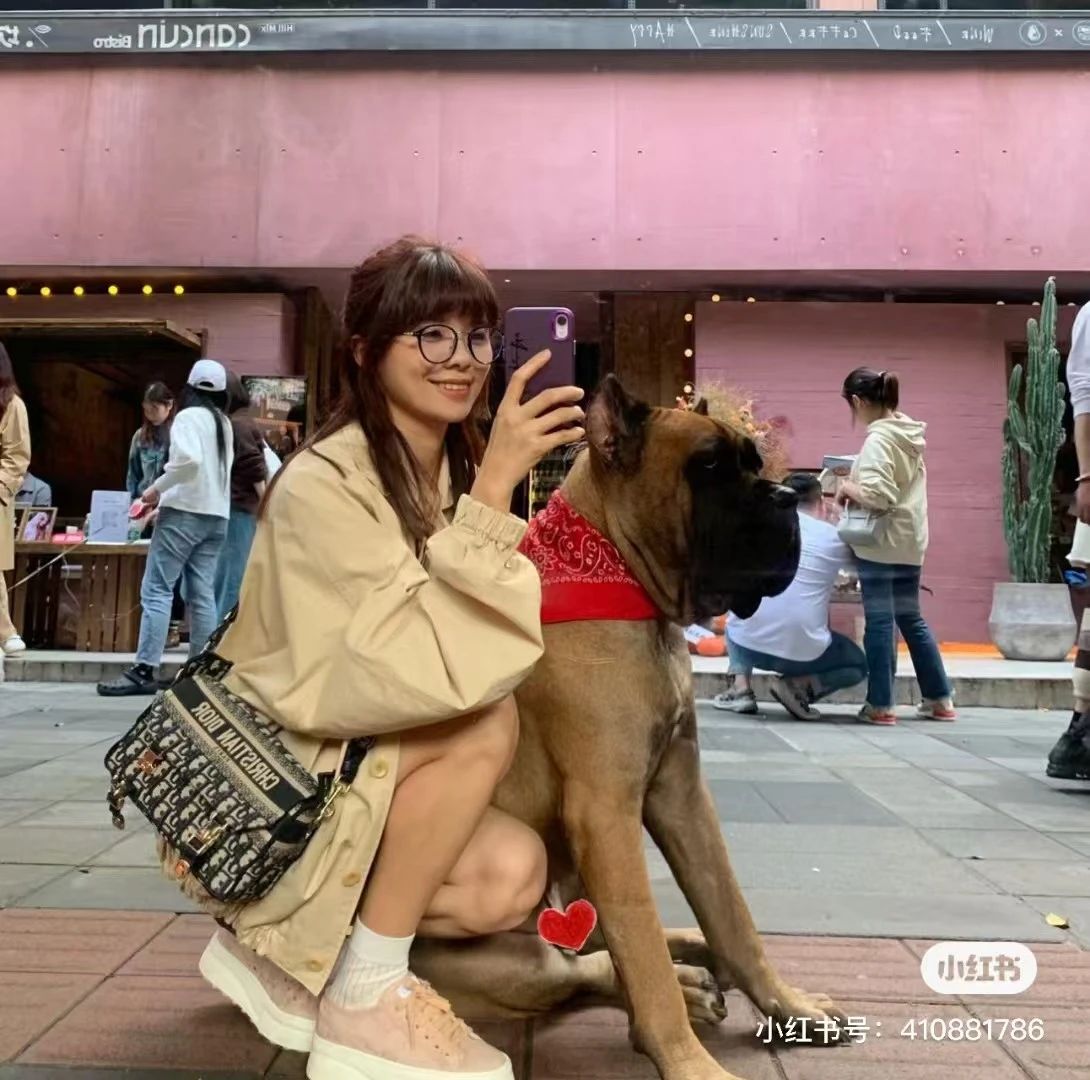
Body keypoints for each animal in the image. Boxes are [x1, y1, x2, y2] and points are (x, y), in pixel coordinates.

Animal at [411, 376, 845, 1080]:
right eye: (708, 468)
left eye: (754, 461)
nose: (786, 497)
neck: (617, 573)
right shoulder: (605, 810)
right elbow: (640, 955)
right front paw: (692, 1062)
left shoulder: (682, 794)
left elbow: (732, 913)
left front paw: (788, 1003)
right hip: (512, 956)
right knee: (583, 967)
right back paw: (687, 987)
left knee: (602, 945)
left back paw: (697, 959)